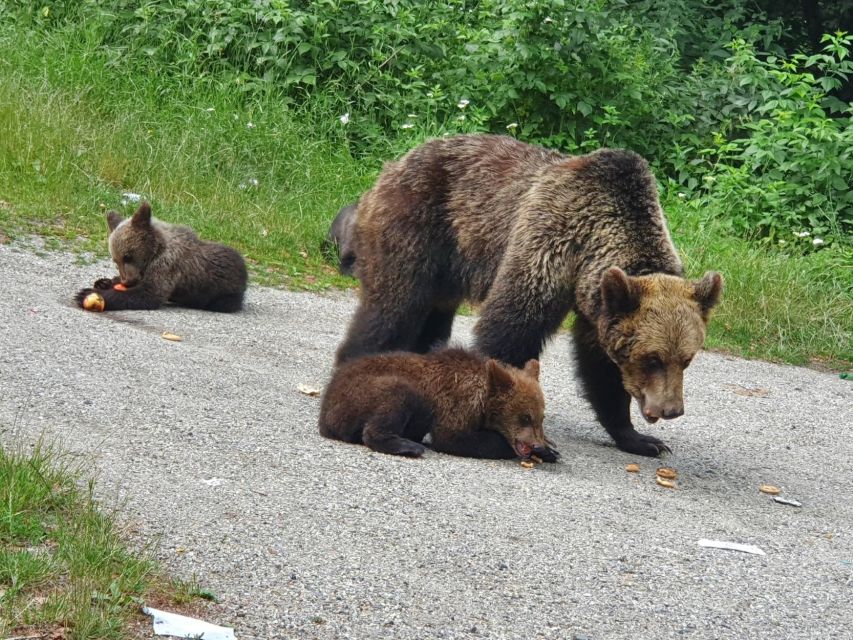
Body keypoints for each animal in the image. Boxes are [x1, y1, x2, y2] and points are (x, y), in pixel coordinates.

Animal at [336, 134, 724, 456]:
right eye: (653, 358)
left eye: (686, 359)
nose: (671, 410)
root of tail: (396, 162)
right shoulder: (549, 243)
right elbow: (510, 330)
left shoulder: (598, 305)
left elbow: (600, 368)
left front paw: (641, 439)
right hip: (418, 223)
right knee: (394, 308)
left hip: (448, 265)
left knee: (432, 321)